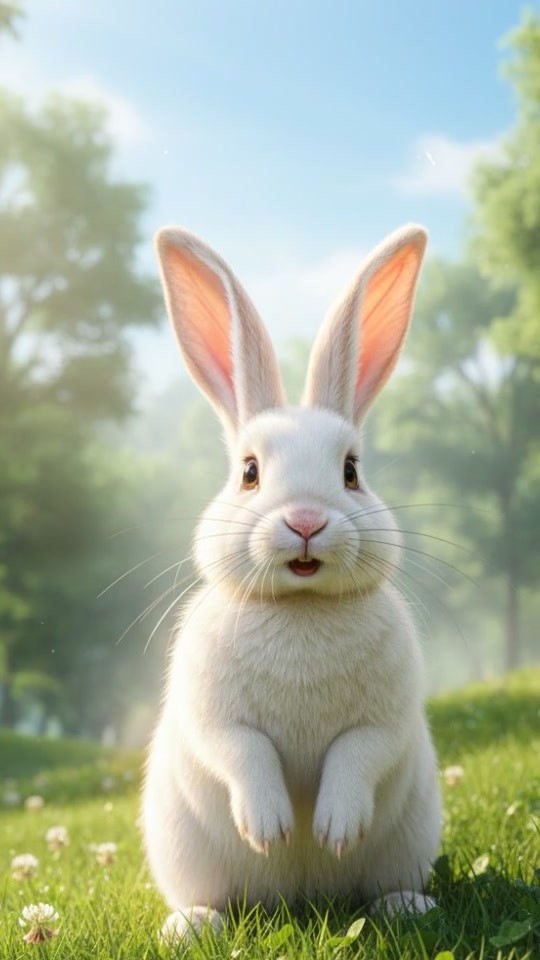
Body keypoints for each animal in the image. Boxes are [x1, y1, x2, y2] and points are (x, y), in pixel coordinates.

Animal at [142, 223, 442, 943]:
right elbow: (242, 752)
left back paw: (406, 906)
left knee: (386, 885)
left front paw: (332, 828)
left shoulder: (386, 719)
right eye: (249, 472)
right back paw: (192, 925)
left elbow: (358, 754)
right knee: (210, 899)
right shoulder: (214, 716)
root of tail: (303, 901)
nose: (306, 522)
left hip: (409, 838)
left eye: (352, 471)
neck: (300, 608)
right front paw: (272, 827)